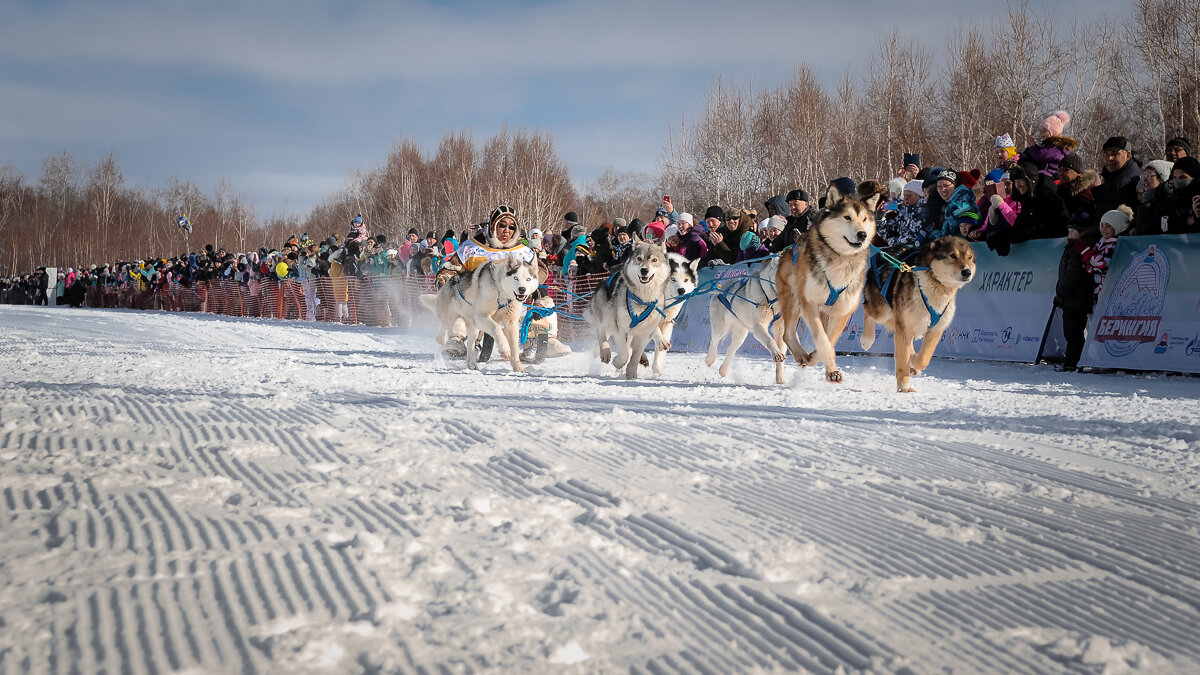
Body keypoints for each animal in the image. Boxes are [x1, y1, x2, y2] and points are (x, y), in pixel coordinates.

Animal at [583, 239, 672, 379]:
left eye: (654, 260)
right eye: (639, 258)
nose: (644, 270)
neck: (642, 299)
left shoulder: (644, 333)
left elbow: (635, 354)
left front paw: (631, 371)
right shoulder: (618, 326)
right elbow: (624, 353)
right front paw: (618, 362)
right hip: (604, 311)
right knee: (602, 330)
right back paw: (605, 351)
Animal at [700, 255, 787, 384]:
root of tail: (720, 290)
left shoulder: (781, 329)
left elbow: (780, 347)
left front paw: (780, 378)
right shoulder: (759, 326)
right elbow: (770, 340)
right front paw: (777, 354)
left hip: (741, 332)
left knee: (731, 348)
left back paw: (724, 369)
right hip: (721, 327)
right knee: (714, 341)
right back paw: (710, 359)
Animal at [772, 186, 878, 381]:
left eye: (865, 219)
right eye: (847, 217)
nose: (862, 234)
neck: (840, 259)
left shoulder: (842, 310)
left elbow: (829, 340)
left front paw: (826, 366)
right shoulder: (810, 304)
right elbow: (822, 339)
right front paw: (822, 362)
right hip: (793, 301)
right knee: (788, 334)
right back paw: (801, 354)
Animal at [868, 235, 979, 389]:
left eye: (969, 257)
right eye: (952, 255)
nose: (967, 272)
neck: (936, 285)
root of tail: (884, 252)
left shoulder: (936, 328)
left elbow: (924, 359)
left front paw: (914, 362)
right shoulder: (905, 324)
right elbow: (903, 359)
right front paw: (904, 387)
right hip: (882, 311)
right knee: (868, 312)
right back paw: (866, 339)